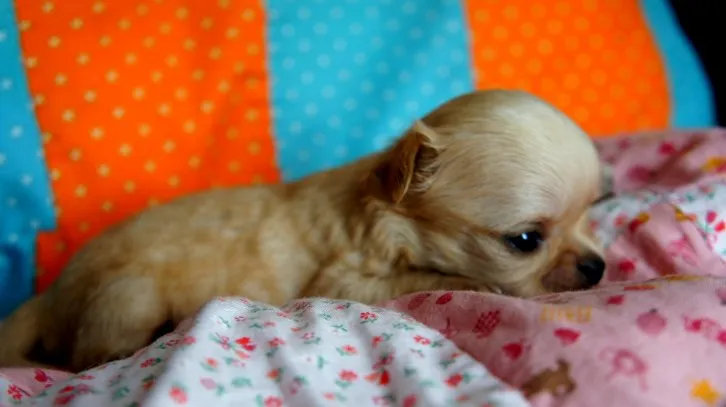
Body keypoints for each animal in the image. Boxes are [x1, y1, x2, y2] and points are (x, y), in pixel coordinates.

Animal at [0, 90, 604, 372]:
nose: (598, 267)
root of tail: (47, 295)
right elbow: (423, 279)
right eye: (525, 241)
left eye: (593, 211)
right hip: (131, 295)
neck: (382, 212)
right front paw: (477, 285)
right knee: (91, 355)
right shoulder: (343, 282)